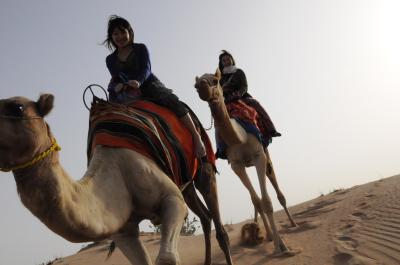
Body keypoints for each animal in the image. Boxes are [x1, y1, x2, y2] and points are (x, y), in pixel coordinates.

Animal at [0, 94, 233, 264]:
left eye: (17, 107)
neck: (117, 177)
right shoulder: (123, 232)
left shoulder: (171, 200)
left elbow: (167, 257)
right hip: (185, 184)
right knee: (205, 217)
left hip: (202, 166)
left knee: (218, 226)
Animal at [194, 73, 296, 255]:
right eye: (196, 84)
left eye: (215, 80)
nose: (202, 87)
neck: (239, 137)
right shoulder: (236, 165)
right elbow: (257, 201)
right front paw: (270, 238)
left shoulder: (258, 155)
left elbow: (267, 202)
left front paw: (282, 247)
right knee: (256, 200)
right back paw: (266, 234)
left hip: (265, 153)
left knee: (275, 185)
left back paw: (292, 223)